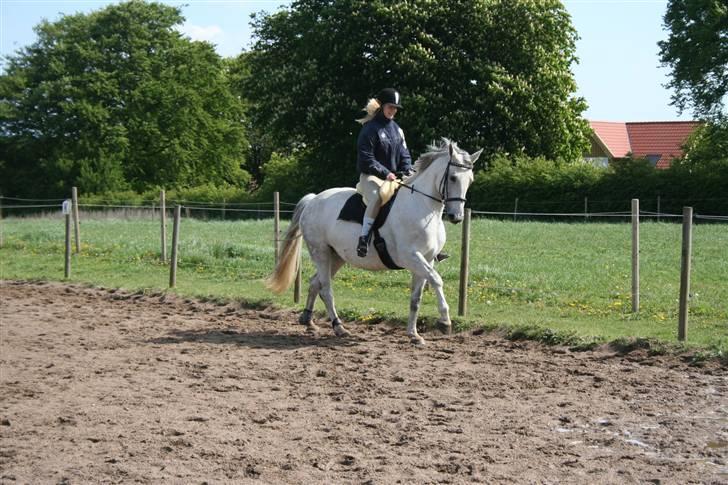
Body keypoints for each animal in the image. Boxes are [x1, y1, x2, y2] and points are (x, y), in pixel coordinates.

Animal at [264, 139, 480, 344]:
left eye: (470, 180)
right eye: (453, 177)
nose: (456, 216)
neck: (422, 207)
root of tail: (313, 200)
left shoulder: (426, 260)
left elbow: (416, 299)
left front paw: (413, 335)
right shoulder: (411, 257)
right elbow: (436, 280)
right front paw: (445, 321)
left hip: (336, 257)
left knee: (315, 283)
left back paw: (308, 320)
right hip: (321, 253)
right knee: (326, 289)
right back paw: (338, 327)